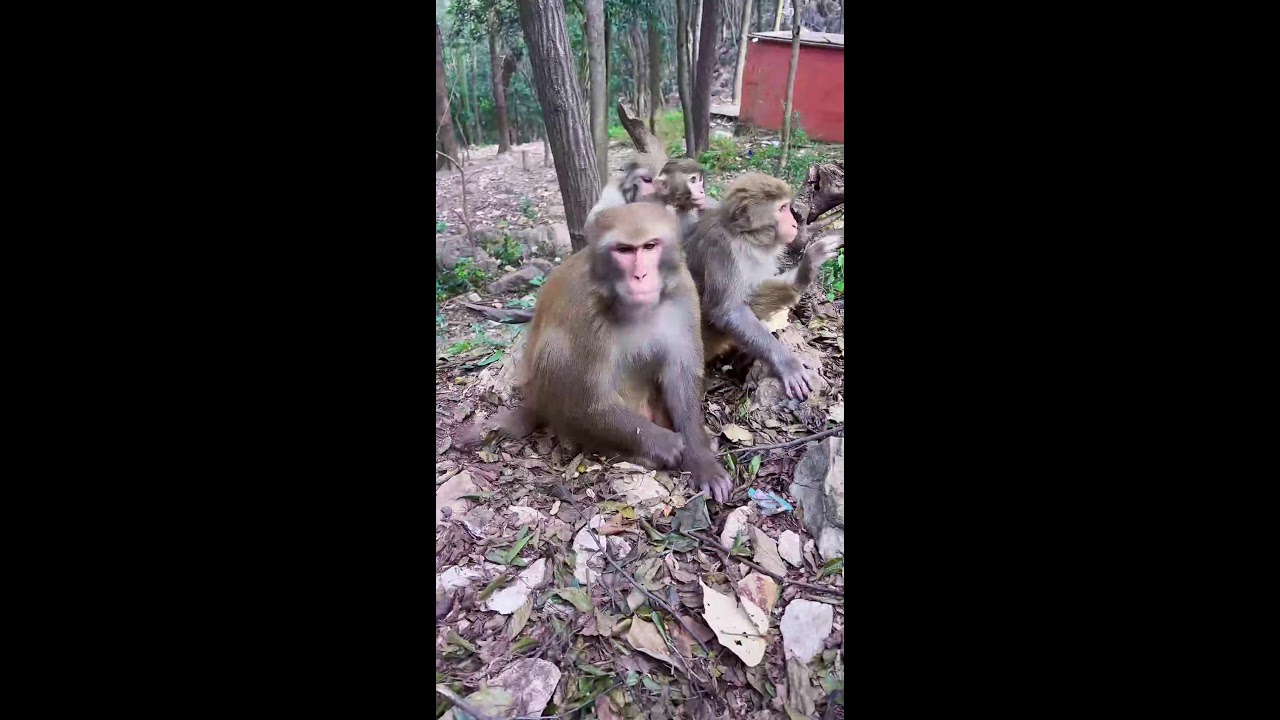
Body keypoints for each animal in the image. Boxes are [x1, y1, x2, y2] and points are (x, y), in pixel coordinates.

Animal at [485, 202, 733, 502]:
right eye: (623, 250)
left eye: (650, 246)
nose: (640, 275)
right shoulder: (583, 312)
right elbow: (584, 400)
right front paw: (665, 443)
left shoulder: (684, 293)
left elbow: (681, 378)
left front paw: (702, 459)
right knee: (555, 351)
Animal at [683, 172, 843, 401]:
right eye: (782, 209)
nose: (794, 224)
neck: (746, 237)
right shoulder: (722, 249)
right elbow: (727, 312)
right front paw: (786, 363)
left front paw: (806, 270)